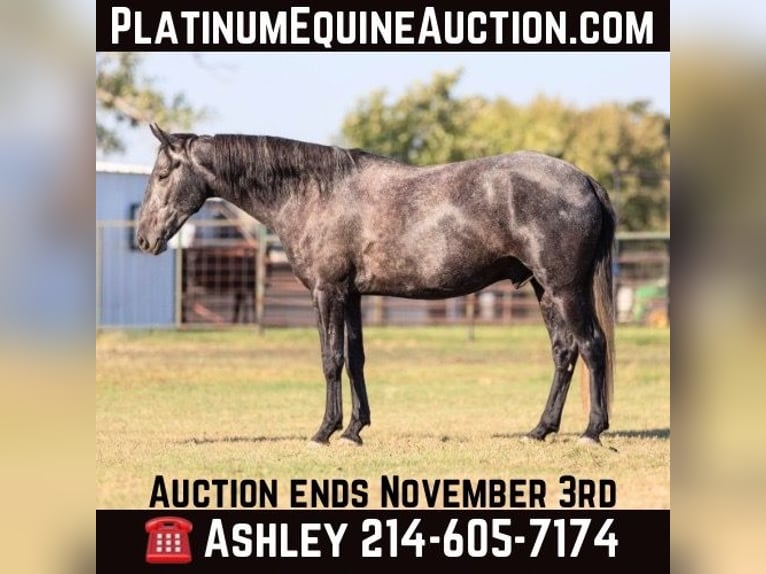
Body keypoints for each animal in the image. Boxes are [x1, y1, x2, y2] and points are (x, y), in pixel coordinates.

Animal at [136, 123, 615, 446]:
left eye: (161, 175)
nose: (143, 238)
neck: (314, 193)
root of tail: (584, 179)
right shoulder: (351, 296)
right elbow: (355, 359)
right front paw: (354, 430)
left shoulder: (326, 292)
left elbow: (330, 360)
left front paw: (324, 431)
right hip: (543, 289)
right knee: (564, 352)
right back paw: (540, 429)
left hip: (565, 289)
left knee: (592, 346)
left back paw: (592, 430)